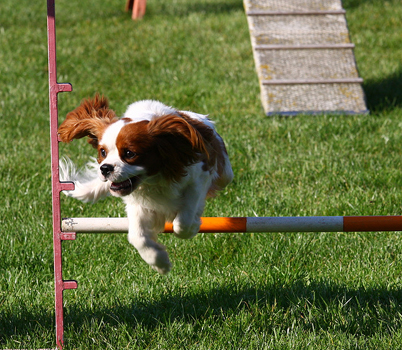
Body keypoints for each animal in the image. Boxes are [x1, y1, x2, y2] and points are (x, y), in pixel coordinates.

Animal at [57, 95, 232, 274]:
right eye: (103, 152)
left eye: (129, 153)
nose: (105, 168)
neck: (153, 180)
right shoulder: (137, 203)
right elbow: (137, 237)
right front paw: (159, 262)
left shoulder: (199, 179)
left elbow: (182, 221)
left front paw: (192, 227)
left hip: (225, 175)